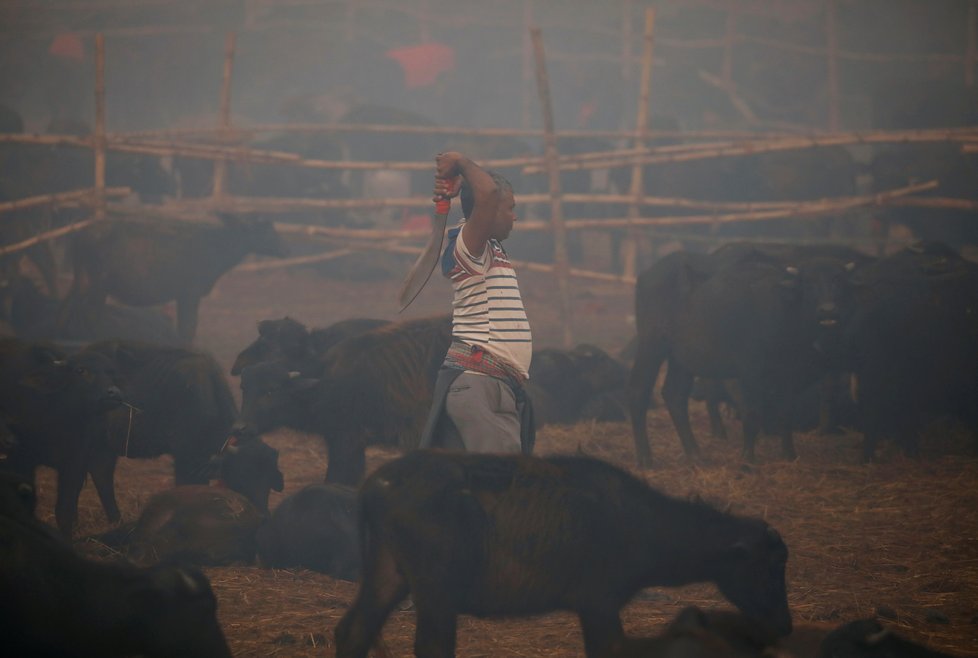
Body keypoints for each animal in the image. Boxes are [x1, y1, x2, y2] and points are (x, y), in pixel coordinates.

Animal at [63, 213, 284, 344]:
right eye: (267, 230)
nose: (287, 248)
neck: (217, 248)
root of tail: (79, 235)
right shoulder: (190, 293)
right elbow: (188, 328)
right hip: (99, 283)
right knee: (90, 314)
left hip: (82, 279)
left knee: (69, 306)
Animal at [332, 452, 788, 656]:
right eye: (768, 567)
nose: (784, 623)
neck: (641, 523)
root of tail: (375, 484)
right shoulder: (599, 604)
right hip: (436, 592)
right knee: (432, 647)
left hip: (388, 574)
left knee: (353, 633)